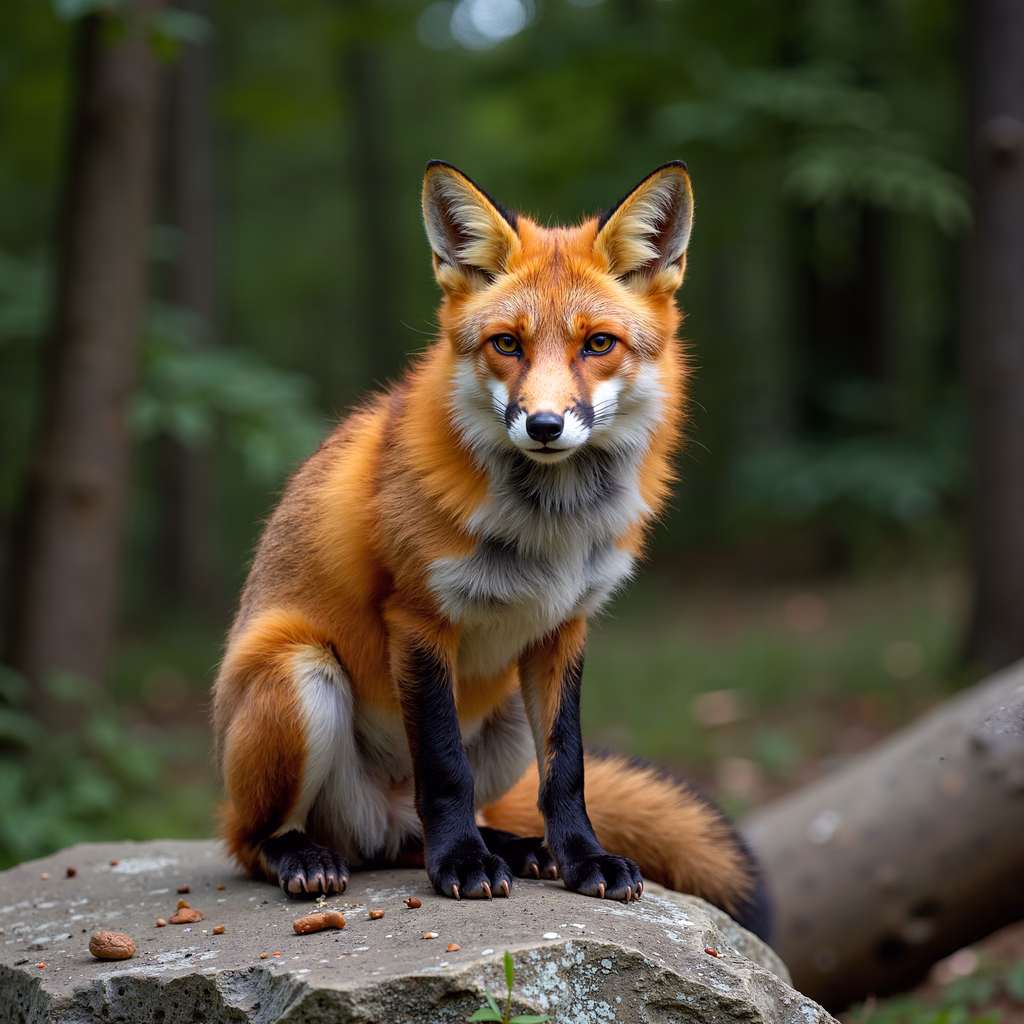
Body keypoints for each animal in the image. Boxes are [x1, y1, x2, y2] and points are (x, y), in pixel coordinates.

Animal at [212, 160, 770, 940]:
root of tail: (378, 822)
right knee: (252, 839)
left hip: (502, 714)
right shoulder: (418, 619)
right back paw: (313, 856)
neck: (550, 530)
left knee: (438, 824)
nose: (543, 425)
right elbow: (445, 767)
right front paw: (461, 867)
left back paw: (515, 846)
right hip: (300, 675)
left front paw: (582, 860)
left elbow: (566, 769)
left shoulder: (564, 628)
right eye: (507, 344)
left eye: (598, 344)